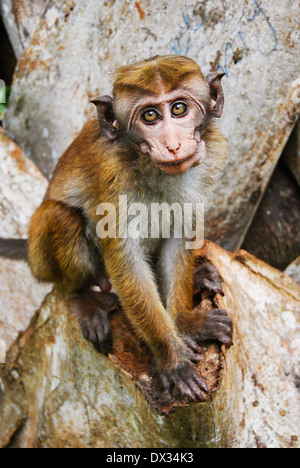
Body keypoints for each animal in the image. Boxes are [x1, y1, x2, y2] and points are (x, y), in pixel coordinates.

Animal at [0, 54, 232, 398]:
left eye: (179, 109)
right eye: (150, 116)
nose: (173, 145)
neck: (150, 167)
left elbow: (178, 240)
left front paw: (187, 322)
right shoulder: (112, 177)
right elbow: (127, 262)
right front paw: (173, 361)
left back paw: (200, 275)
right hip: (43, 260)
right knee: (62, 219)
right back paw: (83, 296)